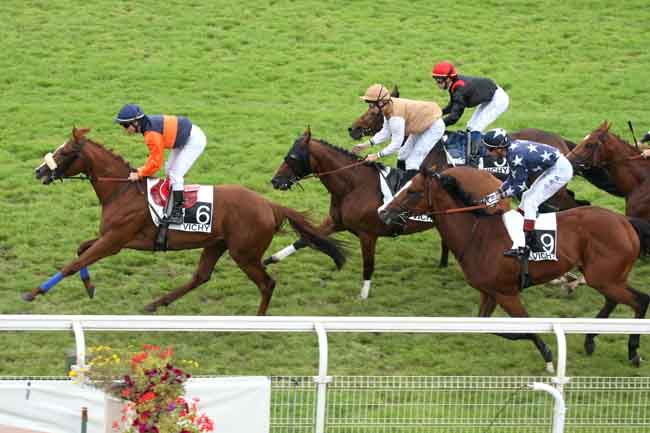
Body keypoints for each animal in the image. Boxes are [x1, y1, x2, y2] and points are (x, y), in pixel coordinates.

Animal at [26, 125, 344, 314]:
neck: (122, 191)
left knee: (267, 284)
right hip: (216, 244)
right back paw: (155, 304)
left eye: (67, 152)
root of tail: (269, 204)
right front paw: (90, 287)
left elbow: (73, 263)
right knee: (200, 276)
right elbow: (81, 249)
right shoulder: (111, 238)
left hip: (244, 253)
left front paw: (34, 292)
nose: (39, 171)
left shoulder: (115, 241)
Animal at [266, 126, 508, 298]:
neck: (353, 186)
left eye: (292, 157)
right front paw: (270, 259)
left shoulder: (367, 234)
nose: (276, 181)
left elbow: (368, 264)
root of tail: (491, 176)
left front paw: (363, 296)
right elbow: (305, 238)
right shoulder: (335, 222)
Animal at [378, 165, 648, 368]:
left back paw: (633, 352)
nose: (382, 212)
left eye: (412, 191)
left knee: (640, 301)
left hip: (604, 277)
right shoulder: (489, 292)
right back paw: (590, 340)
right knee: (614, 300)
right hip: (606, 277)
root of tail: (625, 222)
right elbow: (486, 326)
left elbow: (526, 325)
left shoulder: (506, 293)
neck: (477, 235)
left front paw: (549, 357)